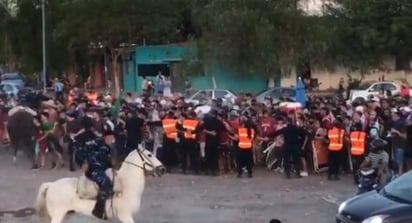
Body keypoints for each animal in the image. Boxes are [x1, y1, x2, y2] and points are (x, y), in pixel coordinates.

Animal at [33, 146, 165, 223]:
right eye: (149, 155)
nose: (162, 169)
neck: (126, 184)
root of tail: (51, 185)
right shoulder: (125, 215)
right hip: (58, 215)